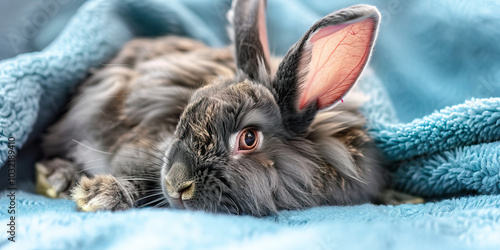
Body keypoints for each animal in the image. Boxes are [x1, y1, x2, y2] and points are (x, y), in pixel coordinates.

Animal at [35, 0, 412, 216]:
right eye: (182, 115)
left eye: (249, 139)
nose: (177, 184)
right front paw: (97, 195)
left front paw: (403, 198)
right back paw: (53, 178)